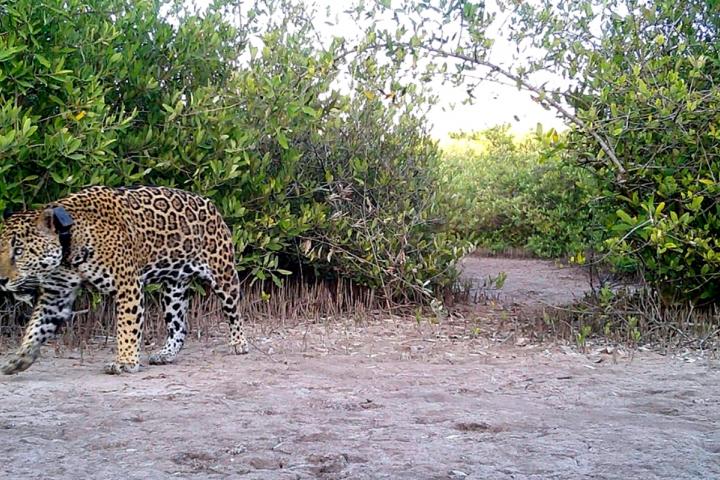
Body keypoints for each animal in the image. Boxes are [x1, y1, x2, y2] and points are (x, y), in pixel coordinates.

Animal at [0, 185, 248, 375]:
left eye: (19, 251)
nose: (1, 280)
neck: (69, 243)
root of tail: (209, 202)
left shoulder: (127, 285)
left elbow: (127, 326)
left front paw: (125, 361)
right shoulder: (55, 295)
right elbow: (36, 327)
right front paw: (19, 359)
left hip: (223, 275)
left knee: (234, 312)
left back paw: (239, 343)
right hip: (173, 290)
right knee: (179, 326)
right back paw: (166, 354)